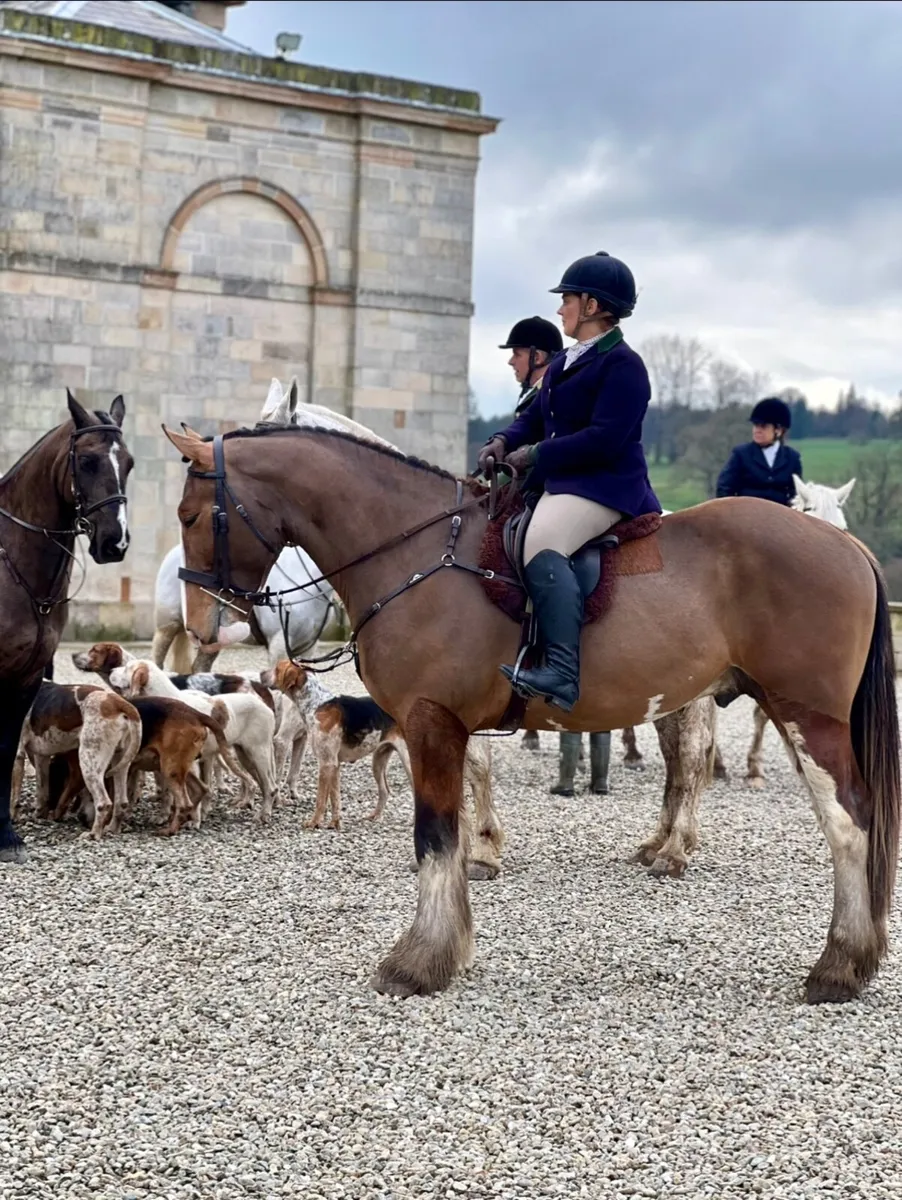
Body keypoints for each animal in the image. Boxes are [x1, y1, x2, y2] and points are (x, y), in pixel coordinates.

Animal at [165, 421, 899, 1006]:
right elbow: (457, 821)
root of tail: (847, 545)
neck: (416, 555)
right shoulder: (450, 727)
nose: (206, 625)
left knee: (845, 822)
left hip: (806, 715)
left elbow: (434, 837)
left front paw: (418, 963)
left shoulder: (432, 720)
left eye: (192, 516)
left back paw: (836, 967)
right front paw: (455, 934)